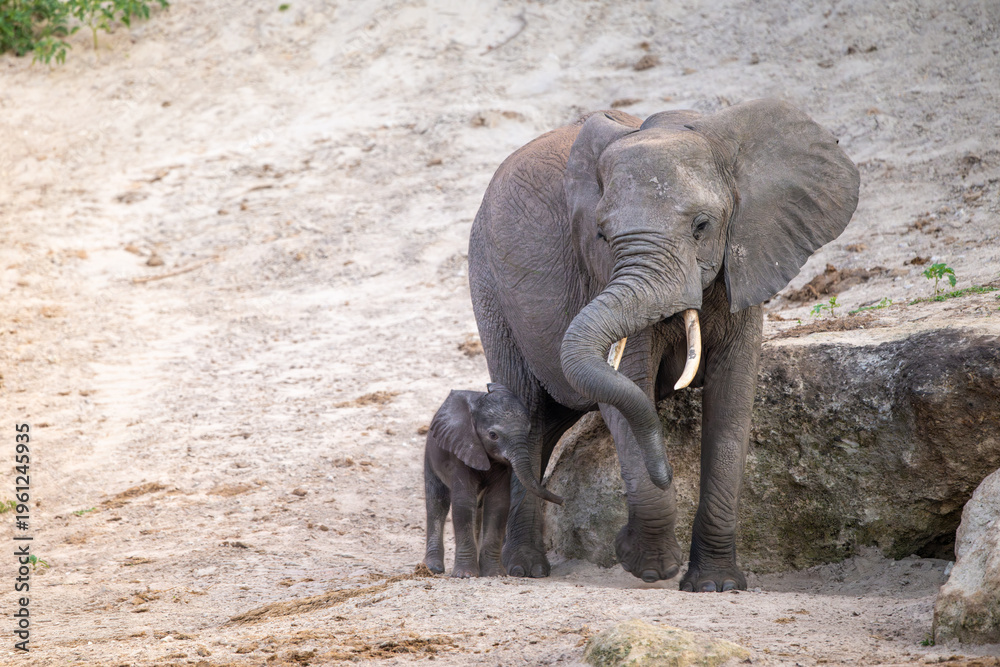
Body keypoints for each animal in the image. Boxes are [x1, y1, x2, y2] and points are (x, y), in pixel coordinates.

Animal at [423, 384, 564, 577]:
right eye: (493, 435)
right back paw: (433, 568)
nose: (562, 501)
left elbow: (498, 504)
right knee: (437, 503)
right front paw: (465, 575)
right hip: (430, 454)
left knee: (478, 507)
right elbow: (463, 503)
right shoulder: (460, 450)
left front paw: (493, 574)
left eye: (528, 431)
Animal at [467, 99, 860, 591]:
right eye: (601, 235)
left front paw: (715, 584)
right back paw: (524, 569)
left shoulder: (748, 257)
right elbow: (629, 384)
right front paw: (648, 565)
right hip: (488, 287)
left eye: (701, 225)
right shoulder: (600, 272)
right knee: (527, 408)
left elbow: (734, 397)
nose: (668, 470)